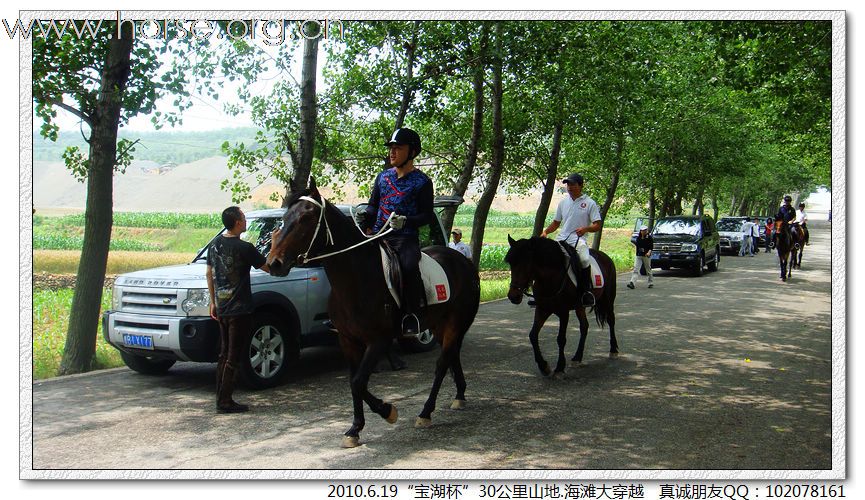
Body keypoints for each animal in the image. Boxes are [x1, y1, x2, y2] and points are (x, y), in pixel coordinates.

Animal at [266, 181, 480, 450]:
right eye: (284, 218)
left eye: (306, 218)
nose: (274, 263)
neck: (357, 279)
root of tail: (464, 261)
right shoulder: (348, 340)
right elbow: (354, 381)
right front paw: (355, 429)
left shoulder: (378, 340)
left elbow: (358, 381)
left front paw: (388, 411)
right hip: (440, 325)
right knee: (452, 357)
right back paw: (460, 395)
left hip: (455, 322)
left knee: (442, 364)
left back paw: (425, 413)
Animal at [502, 236, 616, 376]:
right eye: (511, 264)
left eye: (525, 264)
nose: (513, 296)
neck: (550, 277)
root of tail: (605, 256)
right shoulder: (542, 309)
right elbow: (533, 335)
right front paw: (543, 366)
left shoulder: (563, 312)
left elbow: (561, 339)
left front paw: (560, 367)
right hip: (580, 307)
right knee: (584, 326)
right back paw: (577, 358)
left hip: (608, 299)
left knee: (611, 320)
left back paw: (613, 350)